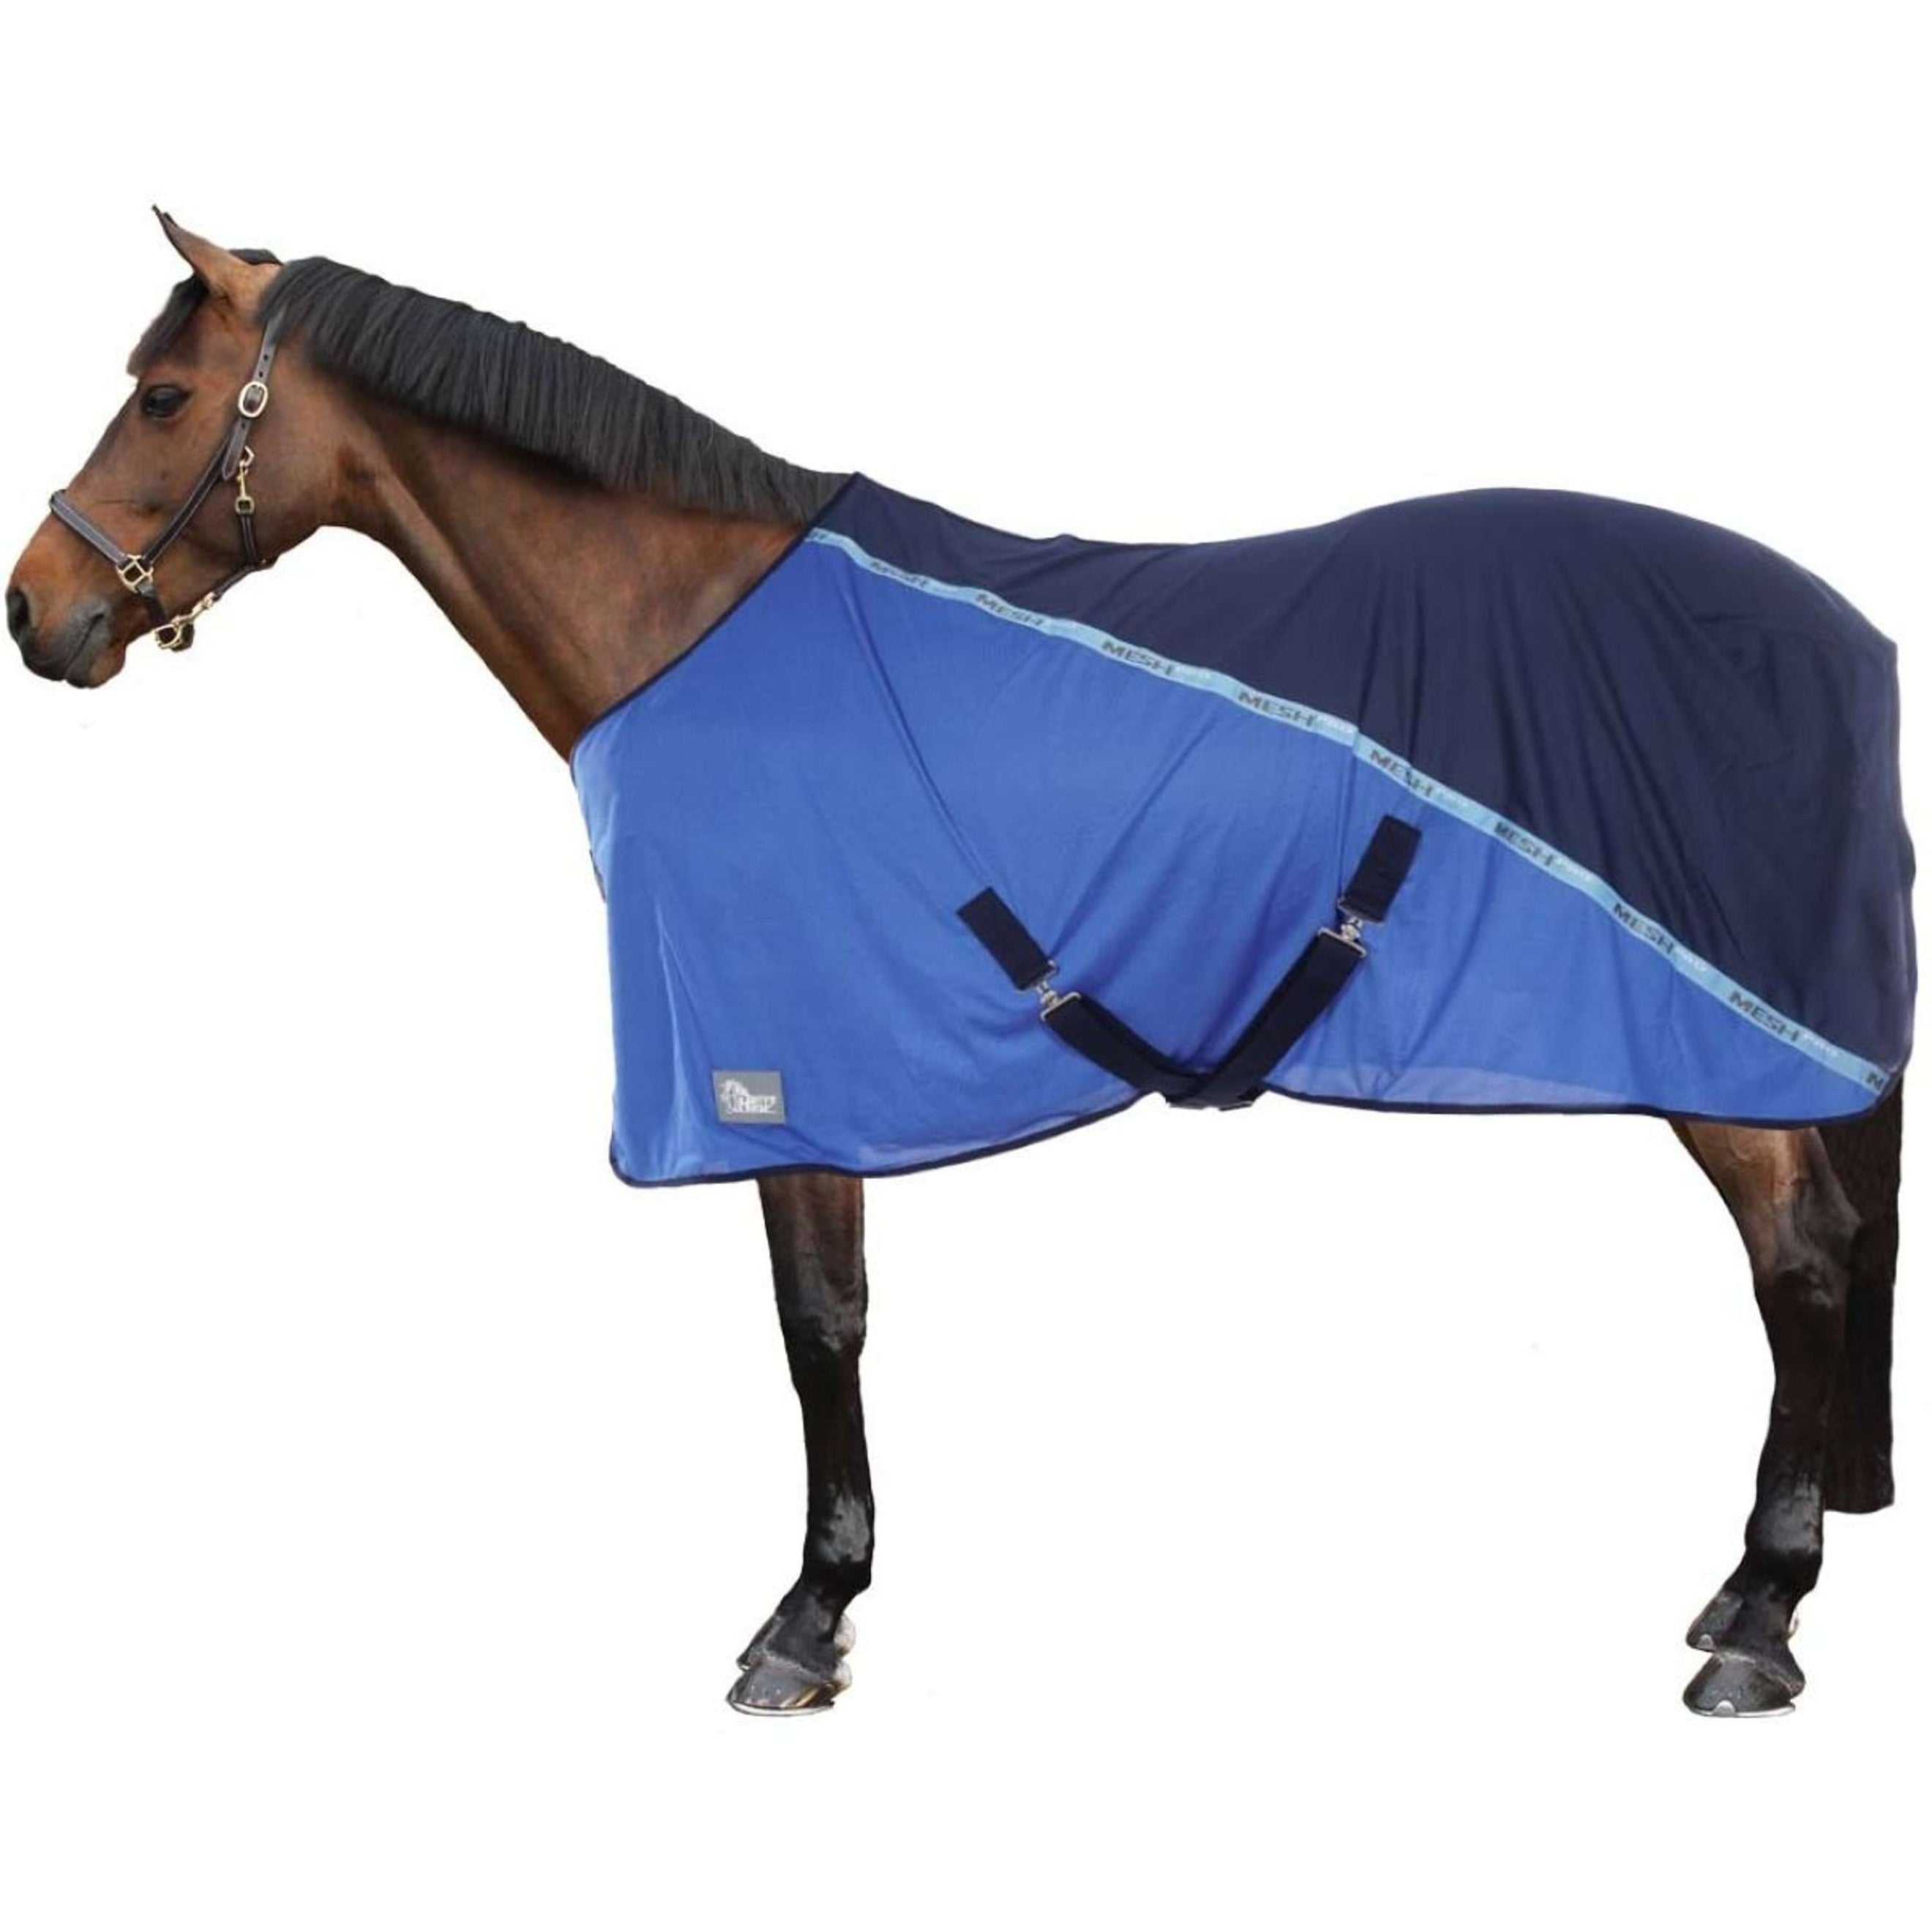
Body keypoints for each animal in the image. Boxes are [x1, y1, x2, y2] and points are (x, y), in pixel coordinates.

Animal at [7, 213, 1909, 1718]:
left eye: (164, 398)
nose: (36, 613)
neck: (692, 628)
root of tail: (1835, 627)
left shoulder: (781, 1064)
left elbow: (819, 1327)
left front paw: (807, 1618)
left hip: (1724, 1056)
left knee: (1803, 1261)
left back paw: (1760, 1619)